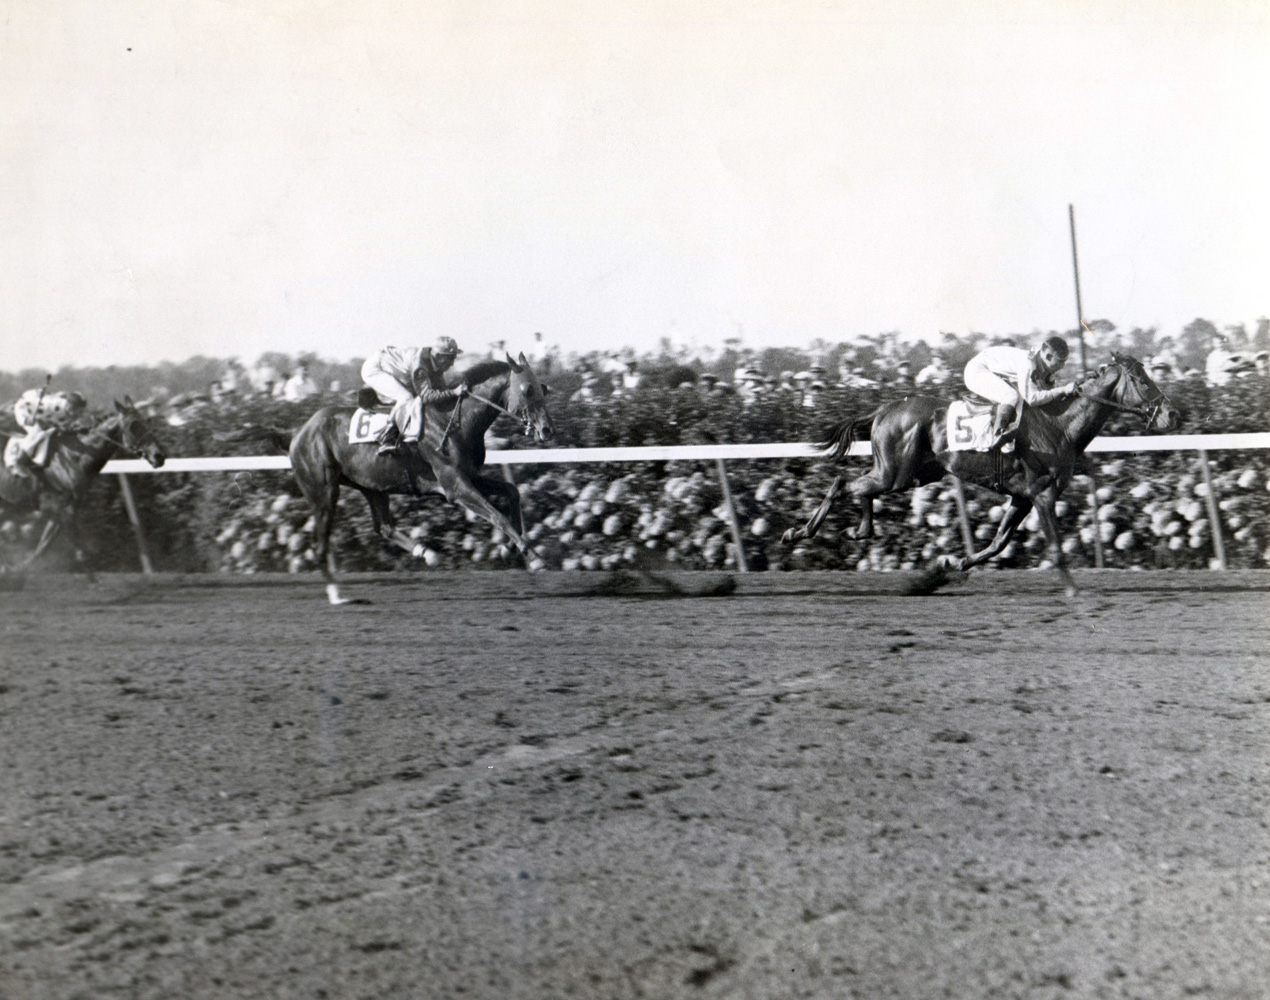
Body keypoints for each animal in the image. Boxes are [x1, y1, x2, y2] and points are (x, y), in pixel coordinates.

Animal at [0, 396, 167, 571]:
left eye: (145, 422)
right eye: (133, 425)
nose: (159, 456)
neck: (72, 458)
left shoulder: (63, 511)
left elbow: (42, 548)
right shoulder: (61, 510)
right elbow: (82, 552)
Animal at [782, 353, 1178, 594]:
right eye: (1142, 381)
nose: (1171, 414)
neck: (1059, 426)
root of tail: (883, 409)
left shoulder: (1022, 497)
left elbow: (998, 542)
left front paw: (951, 563)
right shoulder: (1042, 495)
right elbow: (1054, 545)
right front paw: (1072, 589)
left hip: (916, 474)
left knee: (862, 488)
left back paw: (860, 529)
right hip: (897, 471)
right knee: (844, 483)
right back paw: (797, 532)